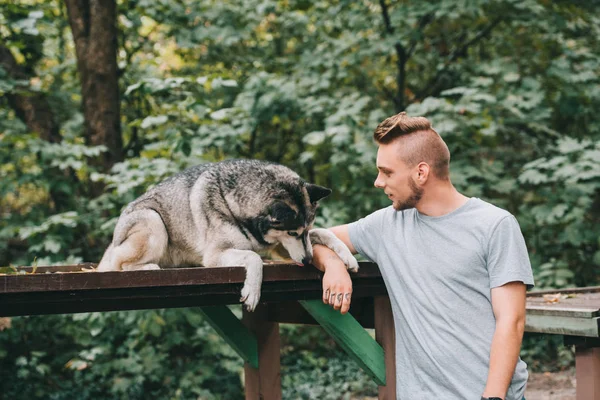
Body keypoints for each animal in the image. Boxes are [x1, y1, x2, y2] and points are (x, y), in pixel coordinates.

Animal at [98, 159, 356, 310]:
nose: (308, 260)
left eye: (306, 229)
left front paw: (347, 257)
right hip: (154, 222)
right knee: (120, 263)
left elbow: (325, 233)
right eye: (292, 231)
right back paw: (148, 267)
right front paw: (253, 291)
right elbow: (254, 258)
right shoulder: (216, 256)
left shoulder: (279, 247)